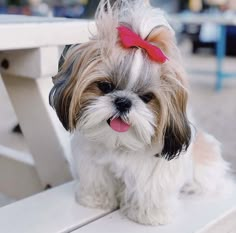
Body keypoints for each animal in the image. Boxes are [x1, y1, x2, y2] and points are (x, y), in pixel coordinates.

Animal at [49, 0, 232, 226]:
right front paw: (96, 199)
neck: (120, 143)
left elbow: (150, 191)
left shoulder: (155, 172)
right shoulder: (94, 163)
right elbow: (98, 179)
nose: (123, 102)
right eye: (105, 86)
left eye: (147, 97)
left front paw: (149, 214)